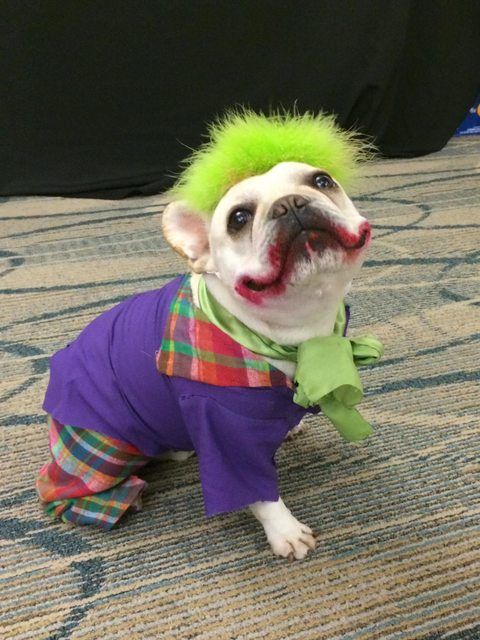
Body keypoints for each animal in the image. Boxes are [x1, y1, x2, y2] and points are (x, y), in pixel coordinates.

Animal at [37, 111, 376, 560]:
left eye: (322, 181)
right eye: (238, 219)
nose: (290, 204)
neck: (289, 334)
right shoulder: (225, 433)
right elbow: (257, 492)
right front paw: (285, 532)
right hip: (100, 447)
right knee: (66, 488)